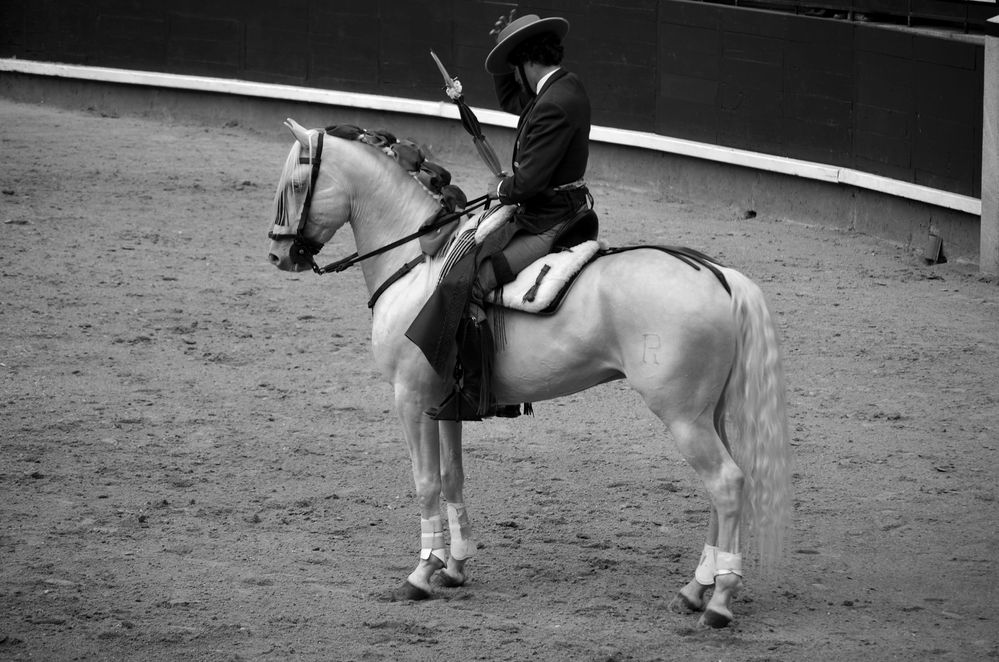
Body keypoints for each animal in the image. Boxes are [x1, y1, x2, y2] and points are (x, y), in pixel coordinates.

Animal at [264, 116, 788, 632]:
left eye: (296, 184)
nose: (278, 256)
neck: (418, 263)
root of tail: (718, 274)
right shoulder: (444, 401)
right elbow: (453, 476)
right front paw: (455, 566)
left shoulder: (410, 396)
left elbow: (426, 481)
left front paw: (422, 572)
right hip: (708, 414)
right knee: (723, 487)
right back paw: (695, 589)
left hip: (681, 416)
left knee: (726, 483)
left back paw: (719, 599)